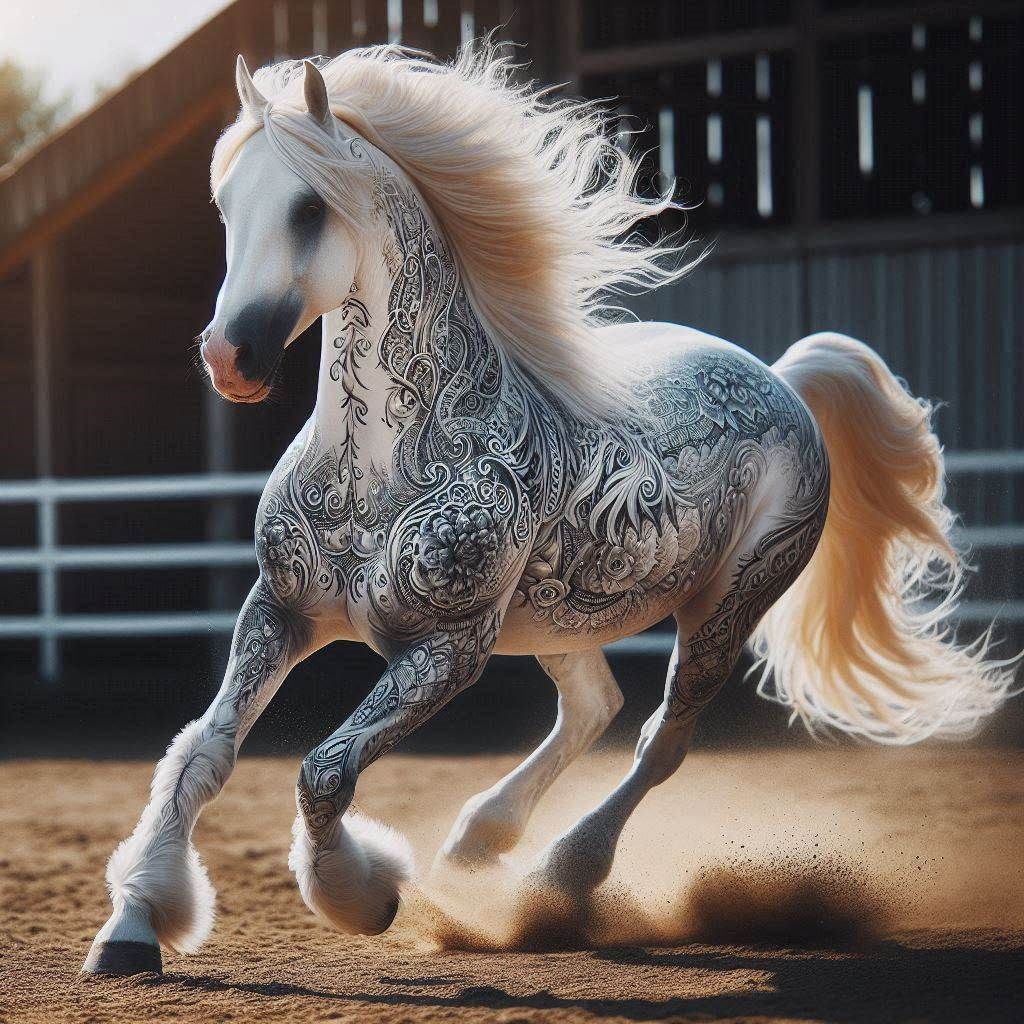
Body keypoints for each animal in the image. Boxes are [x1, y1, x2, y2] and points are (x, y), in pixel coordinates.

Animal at [83, 43, 1017, 976]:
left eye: (309, 207)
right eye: (226, 205)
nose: (229, 358)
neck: (384, 462)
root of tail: (783, 380)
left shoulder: (448, 648)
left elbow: (325, 771)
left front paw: (364, 897)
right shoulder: (279, 608)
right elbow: (201, 753)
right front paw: (133, 925)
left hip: (727, 606)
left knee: (659, 739)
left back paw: (559, 878)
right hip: (557, 618)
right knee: (595, 704)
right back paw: (477, 842)